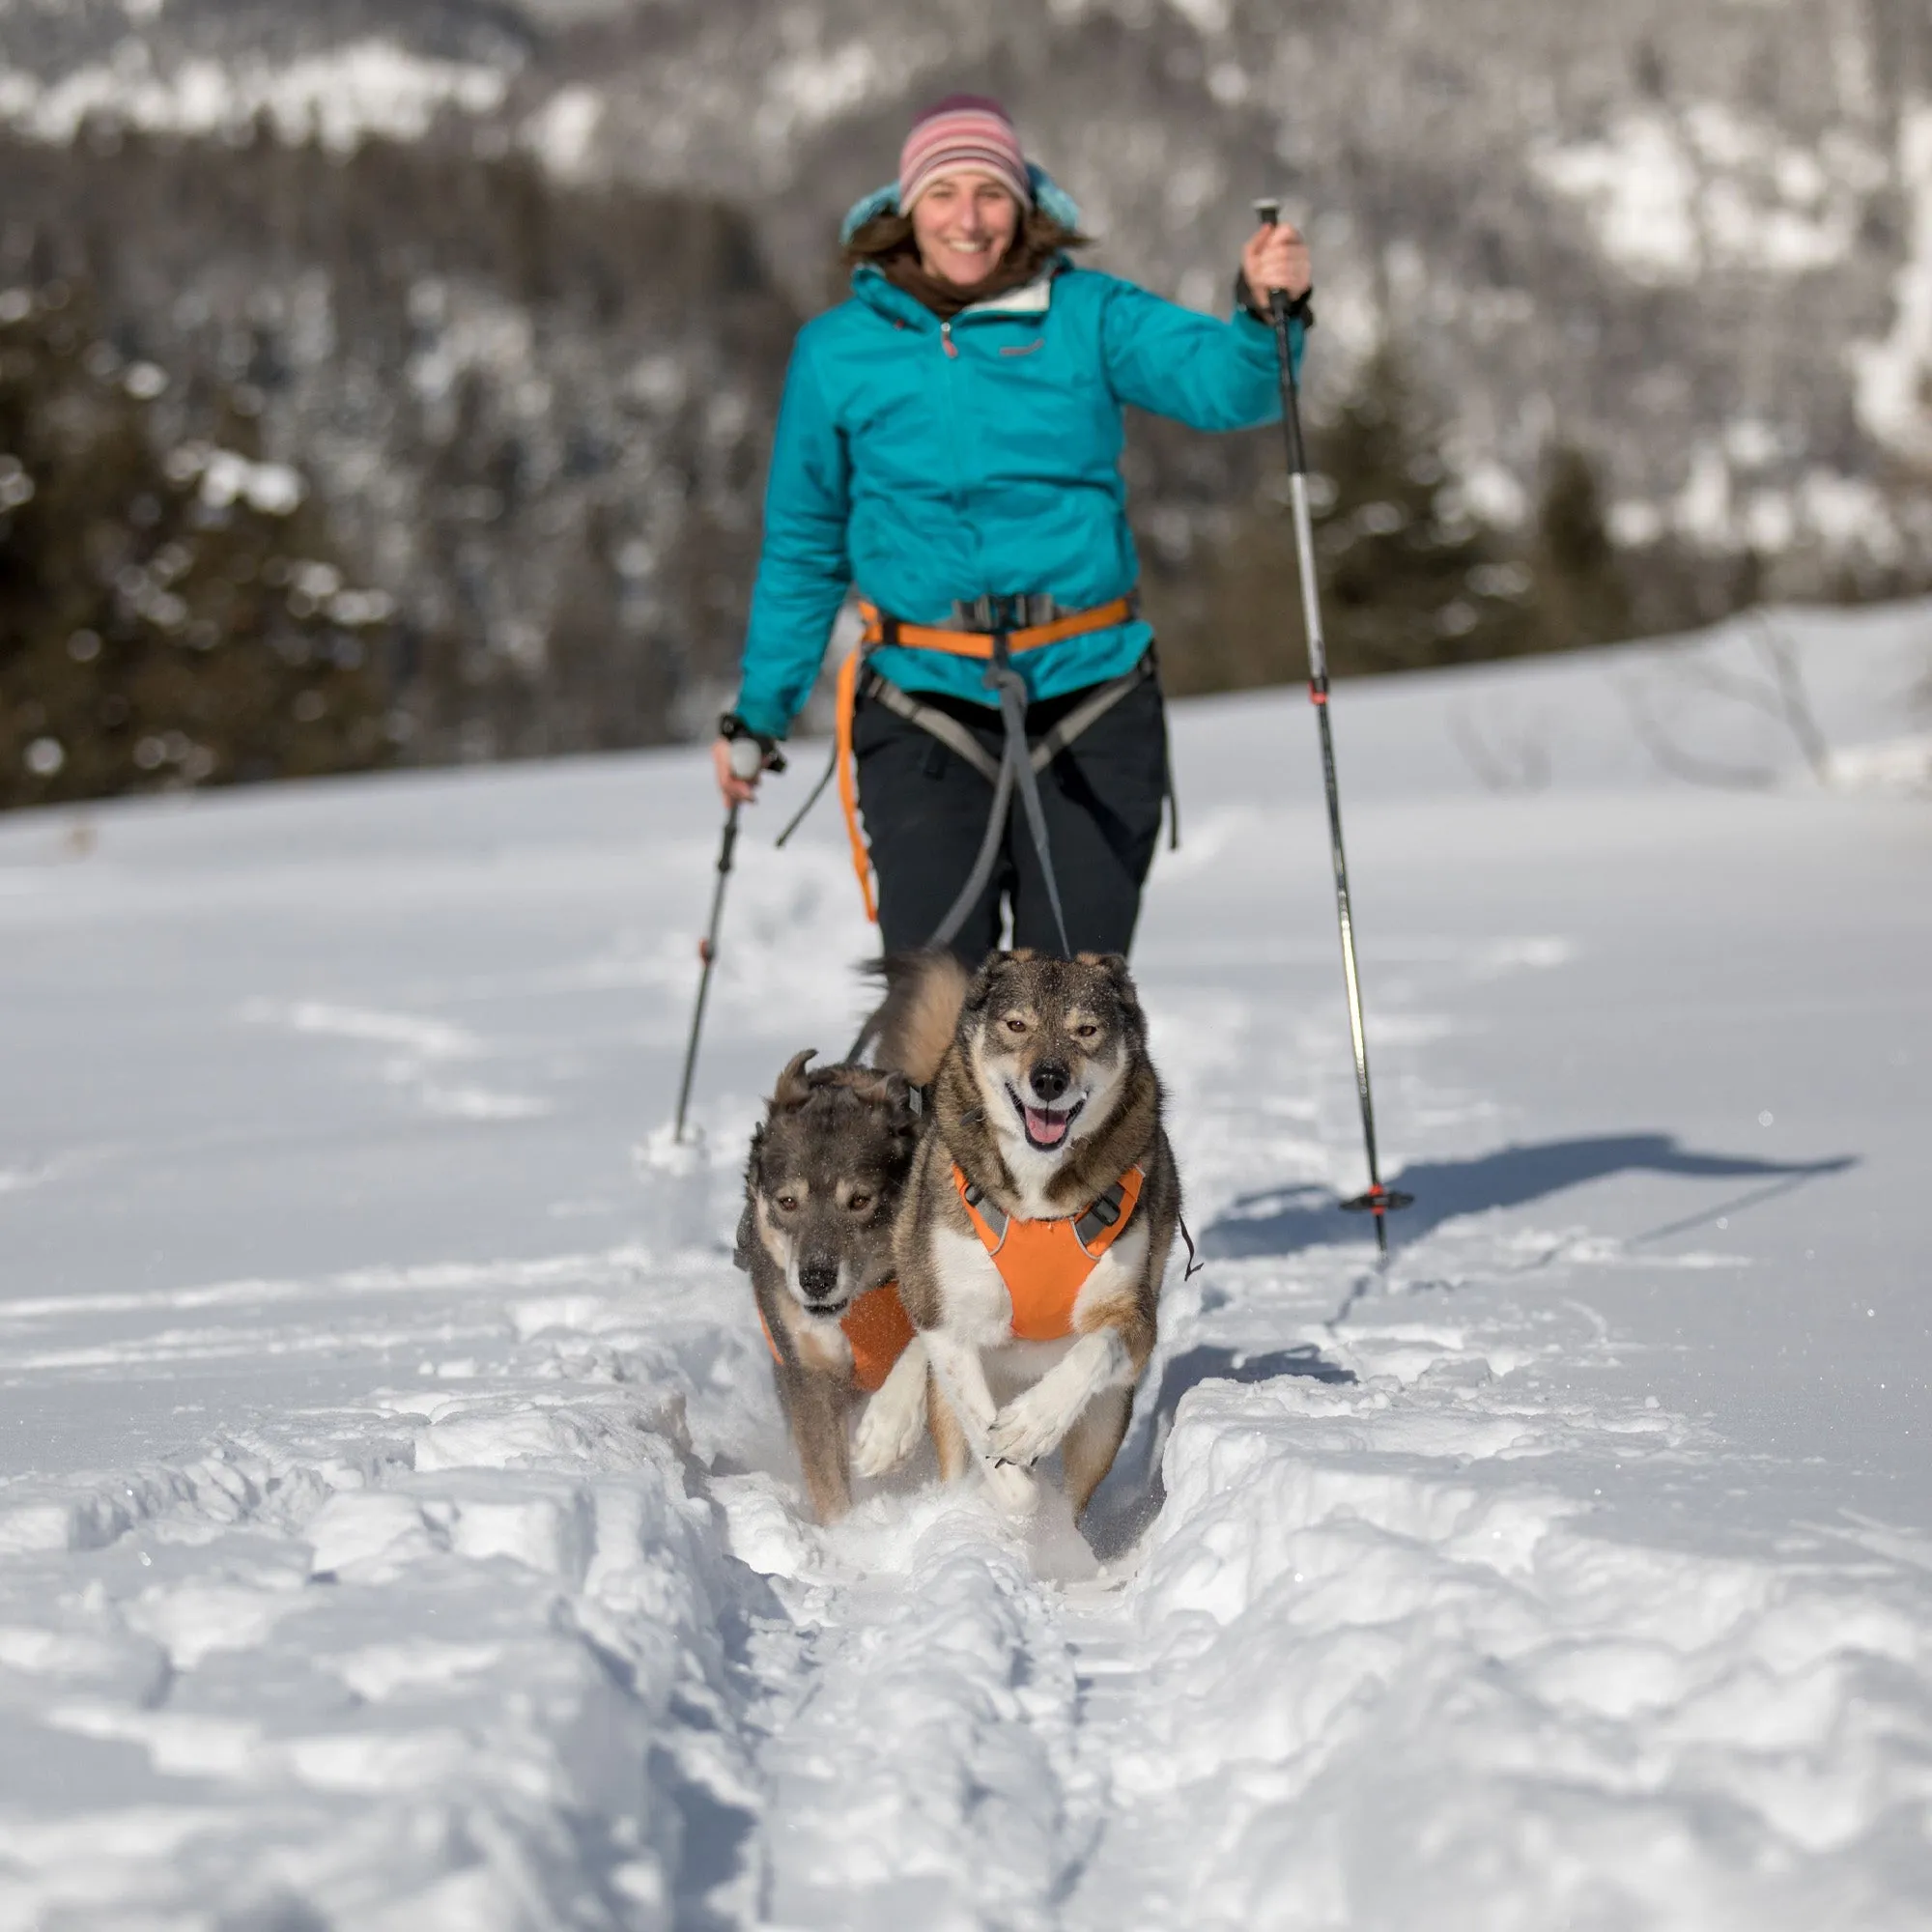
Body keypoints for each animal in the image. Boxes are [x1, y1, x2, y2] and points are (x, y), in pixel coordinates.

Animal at [730, 1059, 927, 1522]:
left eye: (859, 1200)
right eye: (787, 1202)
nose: (816, 1279)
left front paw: (888, 1431)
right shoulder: (808, 1373)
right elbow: (827, 1481)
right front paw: (847, 1533)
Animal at [869, 951, 1182, 1522]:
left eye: (1086, 1030)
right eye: (1017, 1025)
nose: (1049, 1079)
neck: (1039, 1205)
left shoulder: (1131, 1314)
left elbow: (1094, 1350)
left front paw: (1030, 1425)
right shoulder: (953, 1322)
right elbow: (980, 1428)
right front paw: (1008, 1498)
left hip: (1107, 1414)